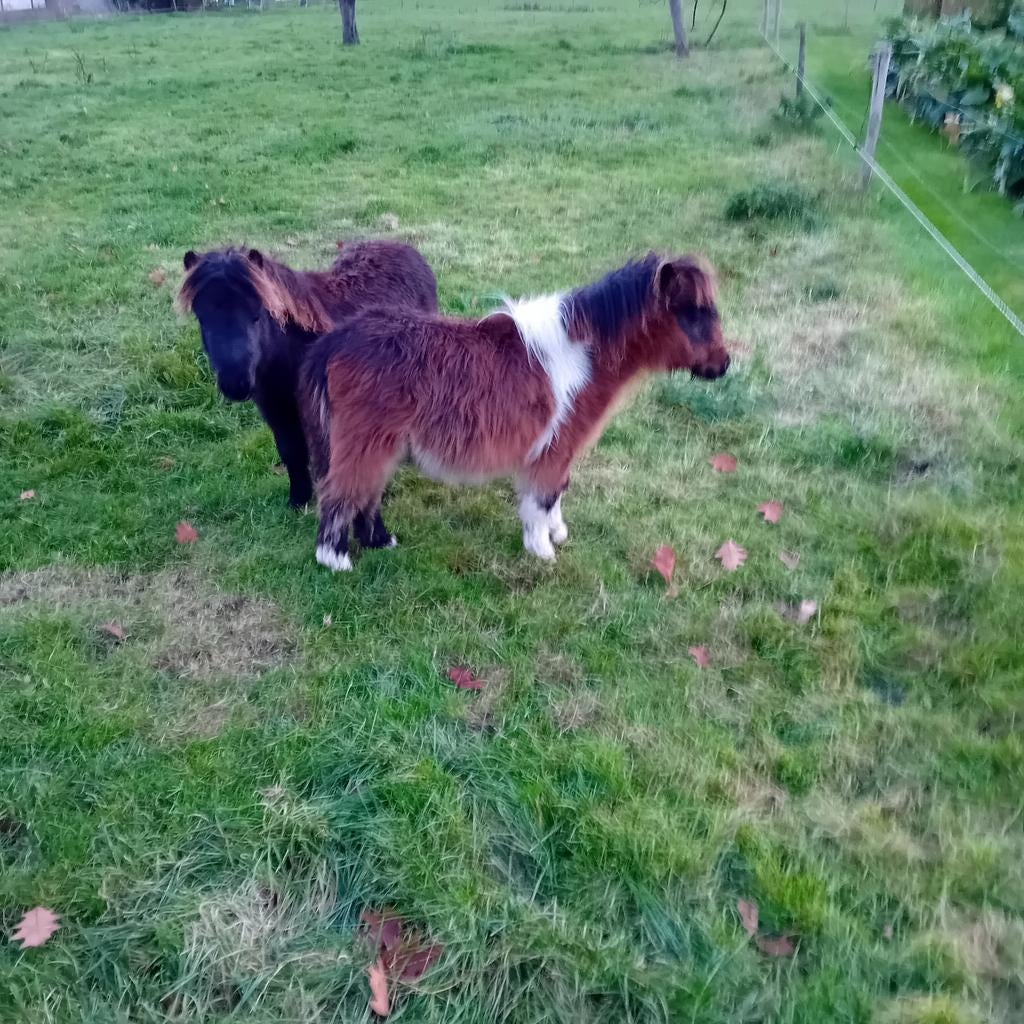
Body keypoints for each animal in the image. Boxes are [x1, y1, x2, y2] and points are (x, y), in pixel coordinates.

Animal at [177, 240, 438, 508]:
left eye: (257, 315)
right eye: (202, 318)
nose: (236, 384)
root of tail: (402, 247)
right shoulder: (277, 409)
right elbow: (291, 450)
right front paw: (299, 499)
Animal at [299, 251, 731, 571]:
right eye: (694, 313)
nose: (724, 365)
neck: (581, 355)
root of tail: (337, 340)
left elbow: (556, 493)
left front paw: (556, 533)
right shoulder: (555, 448)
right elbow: (542, 496)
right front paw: (542, 549)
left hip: (379, 445)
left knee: (366, 494)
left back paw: (380, 541)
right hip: (363, 443)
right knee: (342, 493)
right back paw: (335, 558)